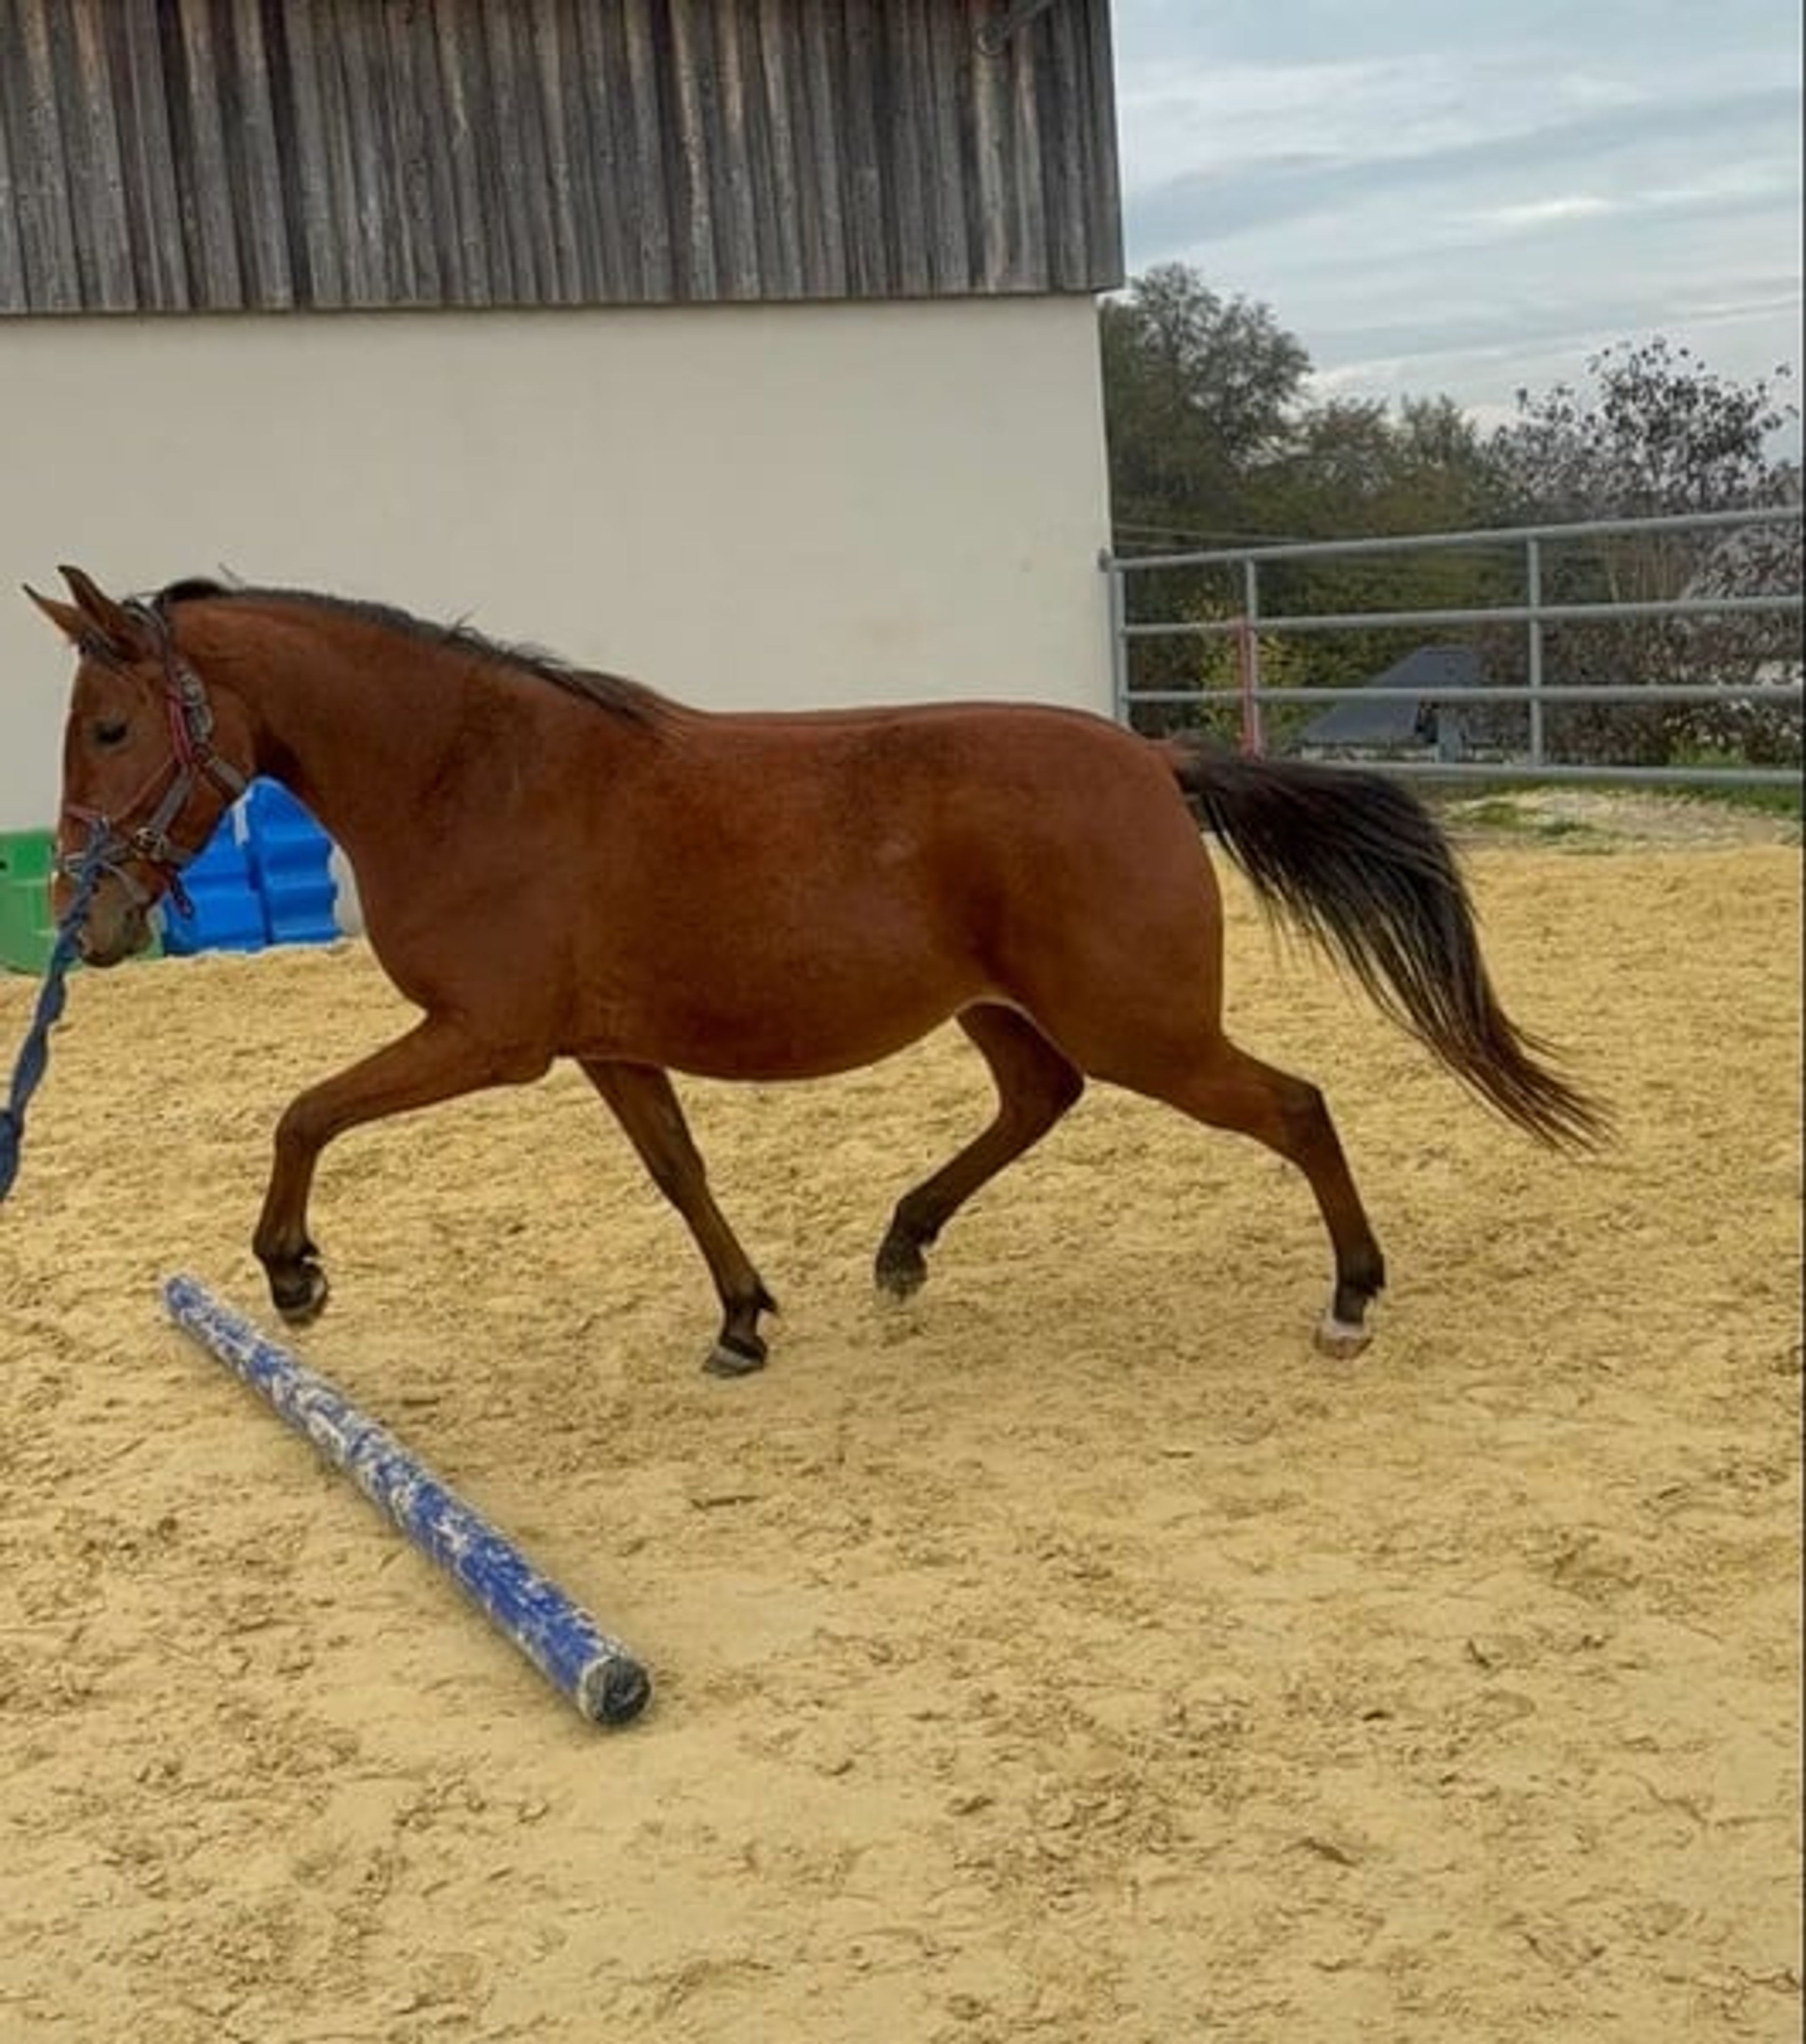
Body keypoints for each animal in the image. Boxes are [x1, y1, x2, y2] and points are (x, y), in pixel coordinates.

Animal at [28, 566, 1605, 1371]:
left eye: (109, 728)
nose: (81, 919)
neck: (479, 776)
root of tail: (1154, 761)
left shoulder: (490, 1040)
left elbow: (303, 1113)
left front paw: (292, 1274)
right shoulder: (606, 1046)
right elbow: (681, 1176)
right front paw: (742, 1320)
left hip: (1145, 1026)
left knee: (1292, 1108)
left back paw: (1350, 1296)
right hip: (1006, 1012)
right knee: (1040, 1100)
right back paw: (903, 1244)